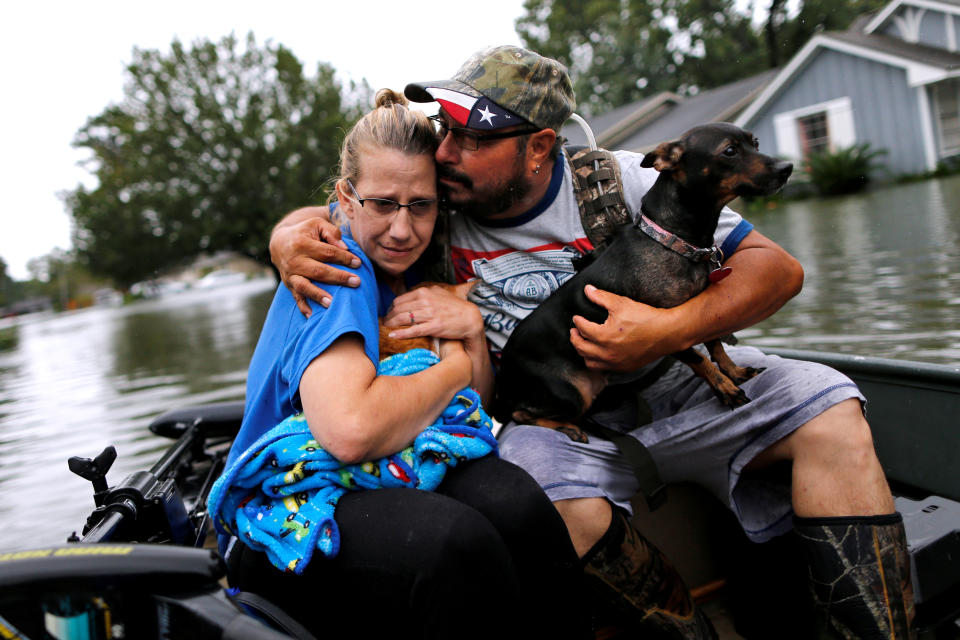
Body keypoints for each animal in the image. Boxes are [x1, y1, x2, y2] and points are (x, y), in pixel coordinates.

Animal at [492, 123, 792, 432]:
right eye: (729, 151)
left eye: (755, 143)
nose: (787, 168)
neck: (672, 241)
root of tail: (505, 380)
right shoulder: (666, 332)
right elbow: (699, 357)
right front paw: (724, 387)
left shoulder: (697, 317)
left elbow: (715, 344)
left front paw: (734, 371)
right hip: (571, 394)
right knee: (521, 414)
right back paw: (569, 428)